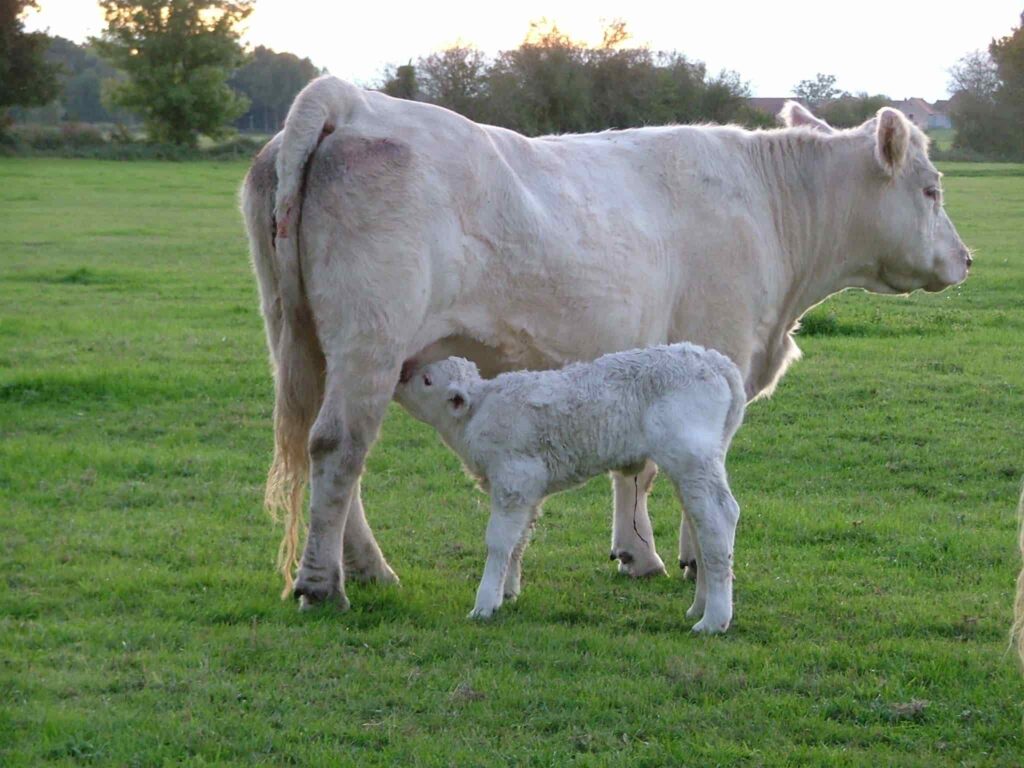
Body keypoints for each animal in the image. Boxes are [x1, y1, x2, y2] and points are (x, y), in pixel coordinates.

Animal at [391, 346, 745, 634]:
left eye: (427, 380)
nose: (401, 373)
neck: (476, 414)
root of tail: (717, 362)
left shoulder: (514, 478)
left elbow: (499, 542)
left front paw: (485, 603)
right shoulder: (528, 489)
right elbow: (519, 541)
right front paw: (508, 592)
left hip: (690, 454)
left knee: (719, 516)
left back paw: (714, 620)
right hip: (701, 458)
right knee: (701, 522)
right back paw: (700, 607)